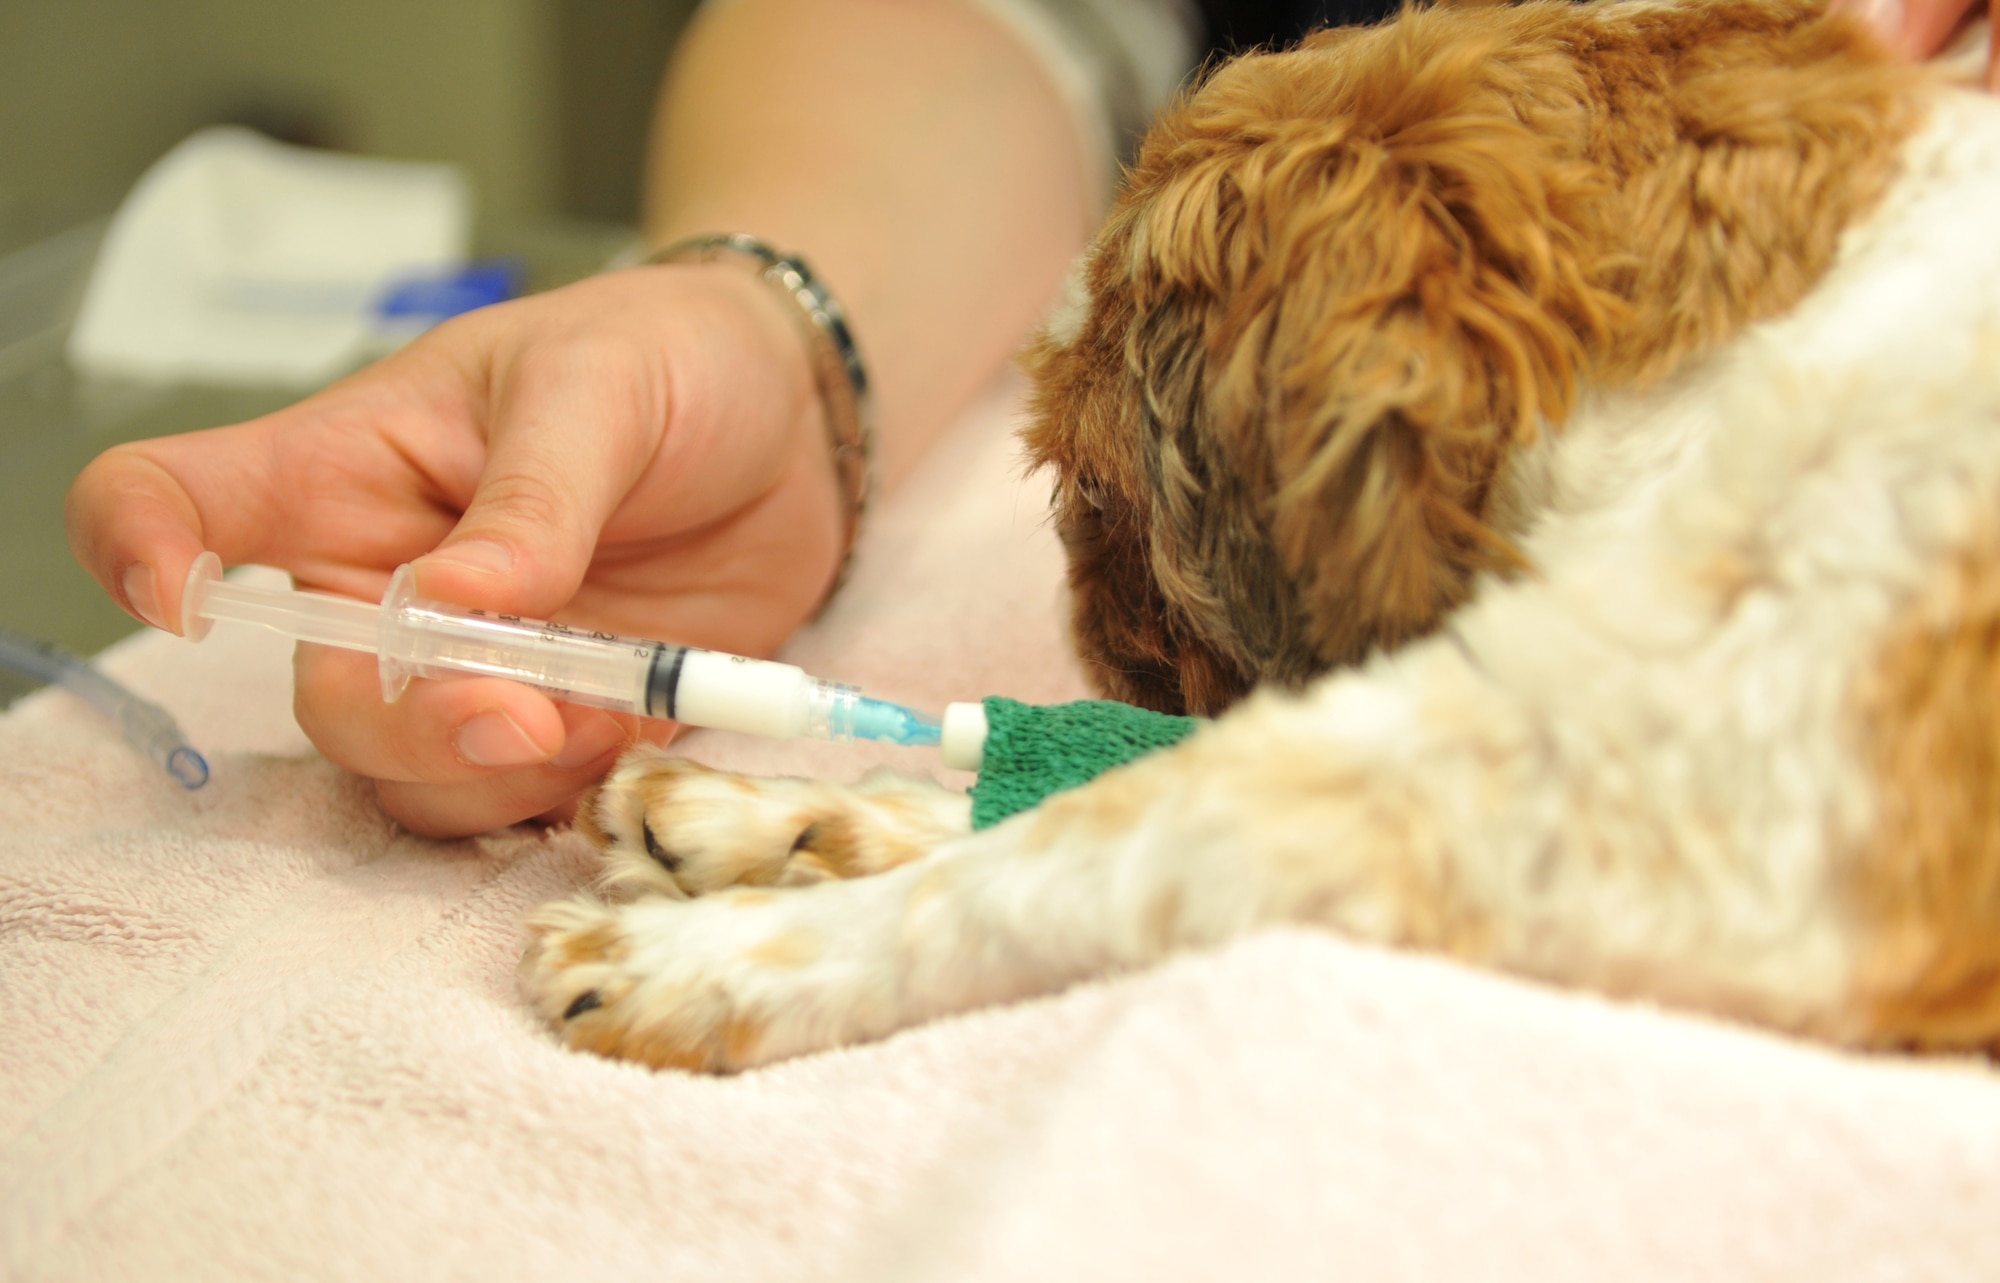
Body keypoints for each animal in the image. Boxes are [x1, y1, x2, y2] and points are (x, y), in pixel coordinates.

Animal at [512, 0, 2000, 1071]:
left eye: (1085, 488)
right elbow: (1116, 772)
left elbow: (1117, 831)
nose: (1084, 644)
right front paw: (768, 811)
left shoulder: (1727, 825)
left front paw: (721, 952)